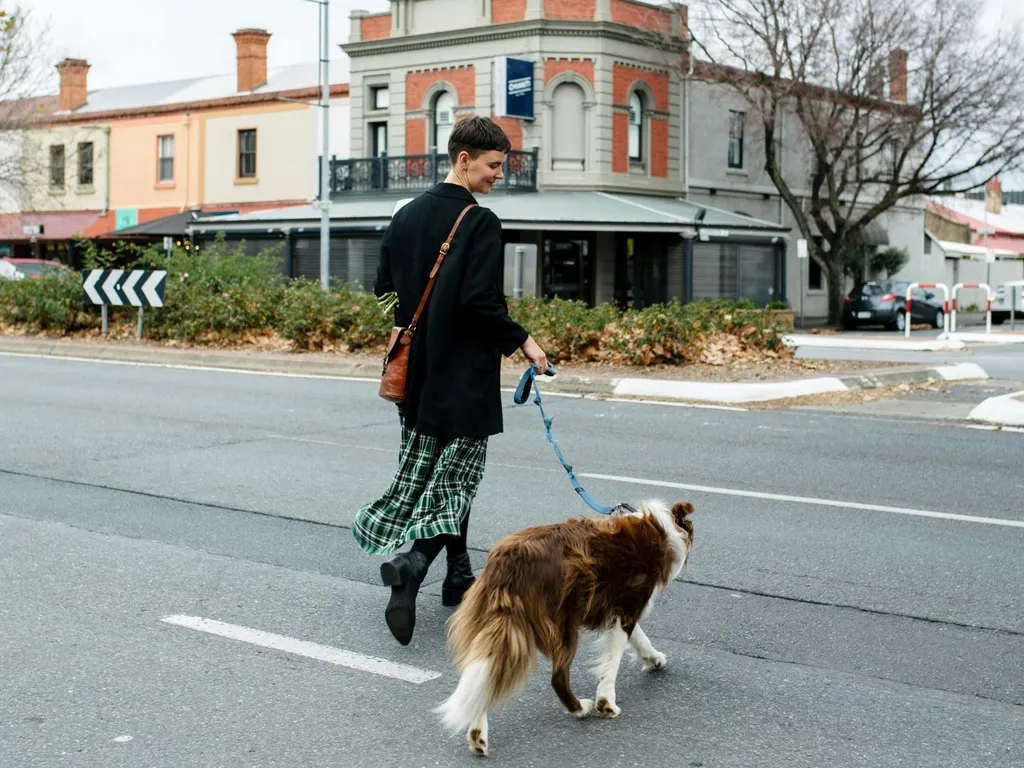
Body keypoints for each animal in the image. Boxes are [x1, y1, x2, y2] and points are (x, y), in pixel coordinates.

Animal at [432, 499, 696, 757]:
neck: (659, 528)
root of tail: (508, 561)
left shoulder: (619, 610)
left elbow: (640, 639)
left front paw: (655, 659)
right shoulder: (629, 605)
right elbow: (613, 662)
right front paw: (606, 703)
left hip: (500, 623)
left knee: (484, 673)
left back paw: (478, 736)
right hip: (562, 622)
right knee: (557, 677)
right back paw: (580, 708)